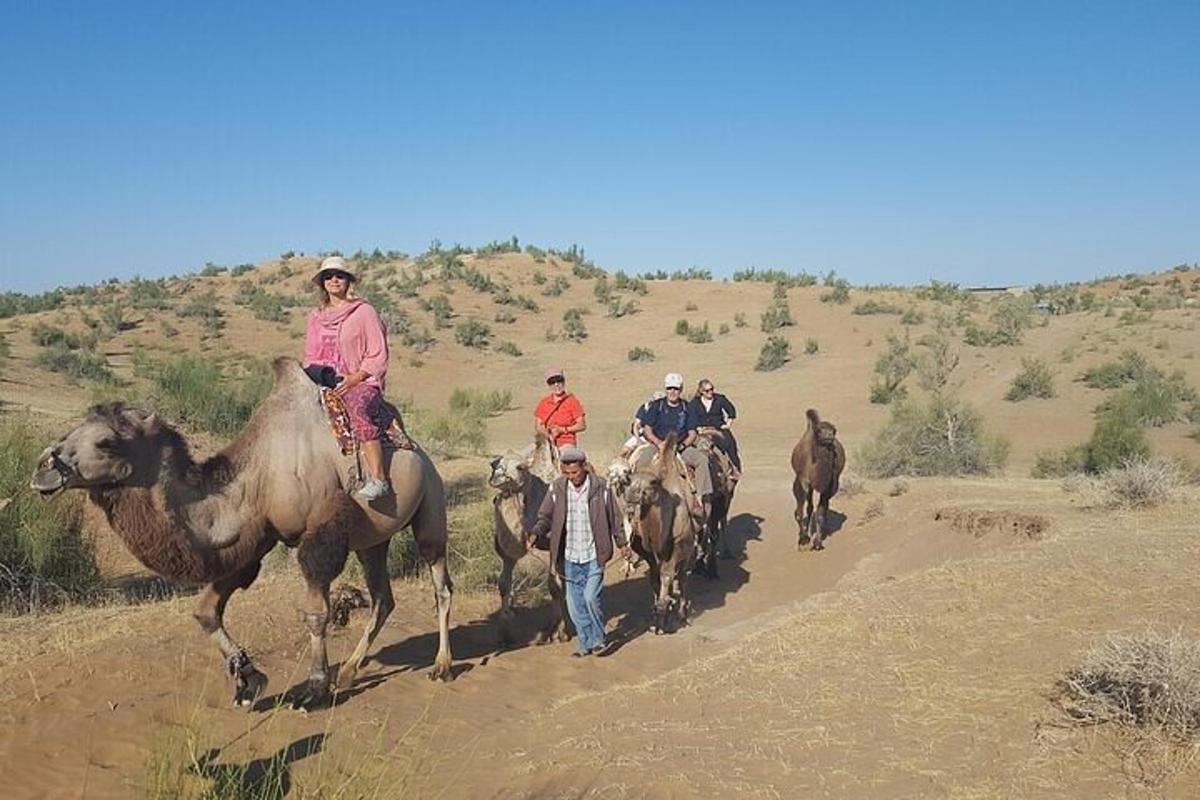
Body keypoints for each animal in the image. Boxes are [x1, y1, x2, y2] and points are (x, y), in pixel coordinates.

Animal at [32, 359, 456, 710]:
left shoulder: (320, 531)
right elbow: (205, 610)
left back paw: (442, 666)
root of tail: (419, 450)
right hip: (373, 539)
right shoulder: (253, 541)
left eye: (106, 442)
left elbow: (316, 613)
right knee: (383, 597)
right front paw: (248, 680)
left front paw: (314, 689)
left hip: (430, 505)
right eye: (73, 430)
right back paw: (351, 670)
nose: (43, 469)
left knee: (440, 582)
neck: (260, 474)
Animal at [484, 434, 568, 647]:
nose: (497, 476)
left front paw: (558, 632)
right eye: (495, 463)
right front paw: (504, 633)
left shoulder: (552, 546)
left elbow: (554, 586)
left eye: (520, 467)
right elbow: (504, 585)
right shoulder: (507, 551)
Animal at [624, 434, 700, 633]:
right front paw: (658, 614)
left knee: (680, 576)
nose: (631, 495)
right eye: (630, 479)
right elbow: (655, 578)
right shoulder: (649, 552)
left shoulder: (678, 548)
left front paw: (663, 617)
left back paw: (678, 612)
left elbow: (667, 576)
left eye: (652, 484)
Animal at [792, 407, 849, 551]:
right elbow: (800, 511)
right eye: (819, 431)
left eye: (834, 430)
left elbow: (820, 513)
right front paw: (803, 539)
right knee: (808, 506)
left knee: (823, 506)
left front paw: (817, 542)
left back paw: (824, 531)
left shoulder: (828, 486)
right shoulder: (803, 481)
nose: (829, 436)